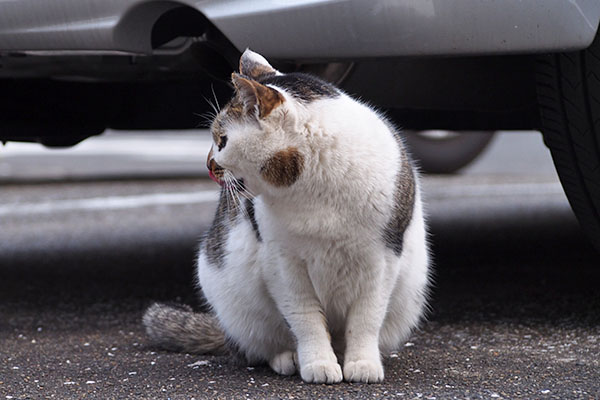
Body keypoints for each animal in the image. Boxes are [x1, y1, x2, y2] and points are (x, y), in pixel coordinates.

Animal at [142, 48, 428, 382]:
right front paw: (317, 362)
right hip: (234, 299)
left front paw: (362, 362)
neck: (314, 183)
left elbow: (366, 318)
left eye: (222, 140)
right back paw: (287, 358)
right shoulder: (281, 261)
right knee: (258, 345)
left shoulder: (382, 258)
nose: (208, 166)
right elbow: (305, 319)